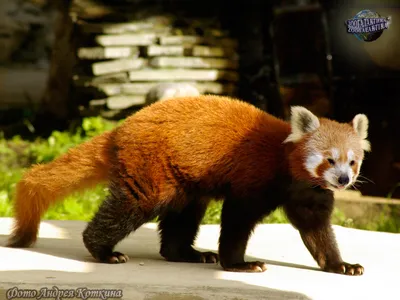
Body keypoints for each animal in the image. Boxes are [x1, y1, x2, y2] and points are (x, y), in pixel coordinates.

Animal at [6, 95, 370, 276]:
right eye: (329, 159)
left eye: (352, 161)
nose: (343, 180)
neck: (292, 174)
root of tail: (121, 127)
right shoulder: (253, 180)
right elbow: (236, 221)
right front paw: (239, 263)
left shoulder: (308, 194)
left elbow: (317, 231)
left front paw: (340, 265)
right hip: (151, 173)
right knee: (129, 208)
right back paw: (103, 251)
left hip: (183, 183)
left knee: (181, 219)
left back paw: (188, 254)